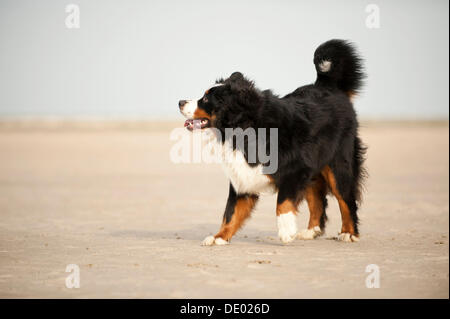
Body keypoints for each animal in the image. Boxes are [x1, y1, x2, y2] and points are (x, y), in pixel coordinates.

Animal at [178, 39, 366, 245]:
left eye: (205, 99)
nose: (180, 102)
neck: (246, 129)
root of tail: (328, 87)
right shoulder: (243, 176)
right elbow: (231, 212)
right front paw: (219, 237)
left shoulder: (295, 168)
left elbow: (282, 202)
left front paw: (286, 231)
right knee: (317, 198)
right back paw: (311, 231)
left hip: (338, 164)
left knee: (345, 198)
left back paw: (348, 233)